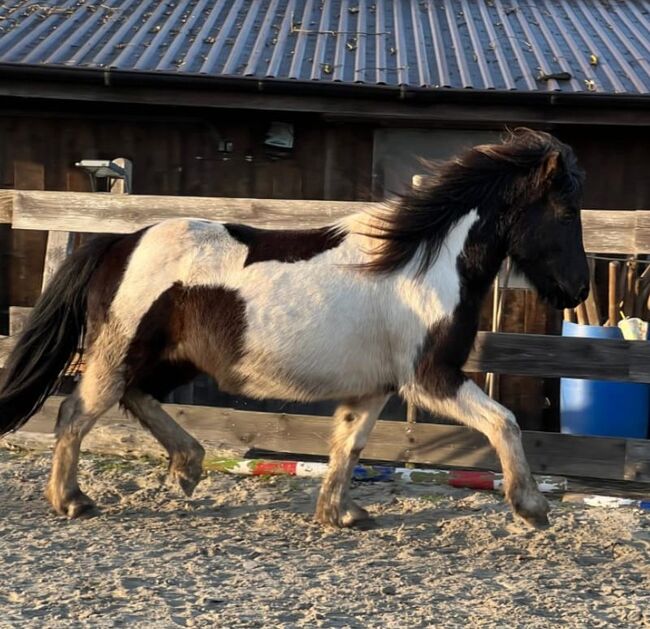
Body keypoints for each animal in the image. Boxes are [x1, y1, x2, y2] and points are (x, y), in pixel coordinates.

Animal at [0, 128, 588, 528]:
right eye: (564, 212)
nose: (577, 289)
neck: (425, 264)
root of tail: (118, 243)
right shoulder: (430, 379)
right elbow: (504, 421)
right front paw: (532, 508)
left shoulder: (375, 387)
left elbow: (350, 443)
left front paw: (340, 514)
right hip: (118, 354)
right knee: (77, 413)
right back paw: (72, 500)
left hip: (169, 359)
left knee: (138, 398)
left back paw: (188, 467)